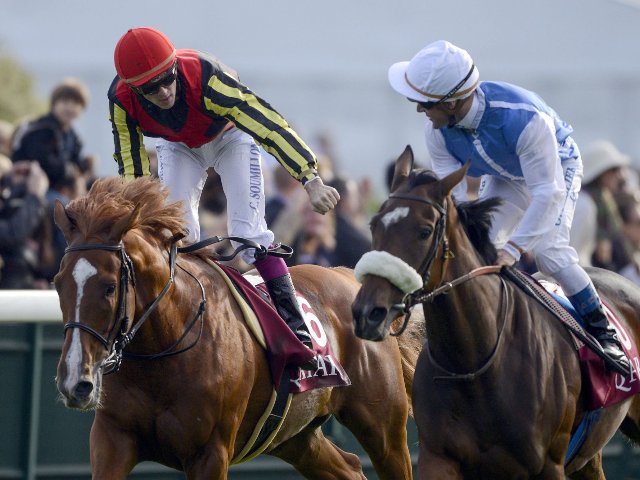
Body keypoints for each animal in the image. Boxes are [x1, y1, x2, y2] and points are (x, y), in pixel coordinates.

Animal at [52, 176, 424, 479]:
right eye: (58, 283)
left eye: (109, 287)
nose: (75, 381)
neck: (161, 354)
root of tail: (349, 276)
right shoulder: (112, 439)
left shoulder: (210, 453)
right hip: (294, 437)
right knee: (349, 467)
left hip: (384, 429)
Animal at [351, 146, 640, 479]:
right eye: (374, 225)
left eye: (424, 231)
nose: (367, 312)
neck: (474, 362)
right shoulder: (438, 457)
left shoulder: (549, 464)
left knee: (554, 253)